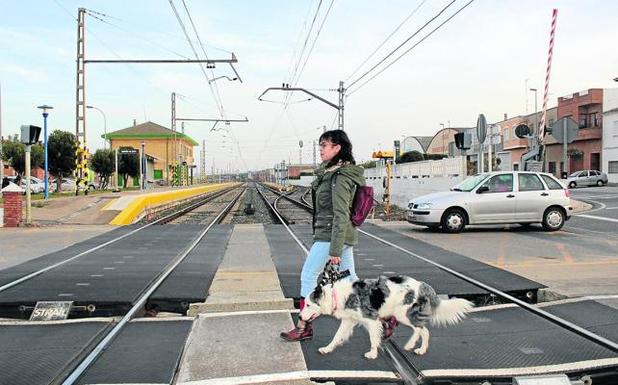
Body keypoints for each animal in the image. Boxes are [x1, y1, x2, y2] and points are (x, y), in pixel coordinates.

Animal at [298, 274, 472, 358]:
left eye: (308, 305)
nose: (299, 317)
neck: (336, 295)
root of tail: (424, 285)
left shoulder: (372, 320)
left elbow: (373, 339)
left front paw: (372, 354)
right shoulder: (349, 320)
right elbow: (336, 336)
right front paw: (327, 349)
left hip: (403, 314)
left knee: (422, 329)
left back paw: (415, 347)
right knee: (421, 330)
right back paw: (415, 348)